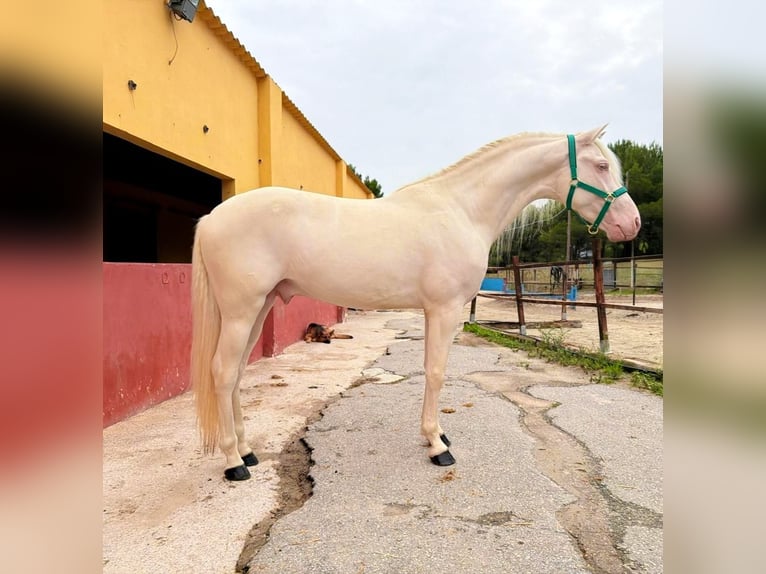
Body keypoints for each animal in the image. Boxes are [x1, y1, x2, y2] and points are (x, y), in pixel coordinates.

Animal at [191, 125, 641, 481]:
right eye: (601, 167)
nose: (632, 223)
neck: (462, 210)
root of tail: (212, 218)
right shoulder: (443, 309)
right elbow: (436, 373)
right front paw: (437, 446)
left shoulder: (433, 311)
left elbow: (430, 370)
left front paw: (436, 435)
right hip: (241, 310)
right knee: (222, 371)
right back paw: (234, 463)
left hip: (260, 306)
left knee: (235, 373)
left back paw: (247, 450)